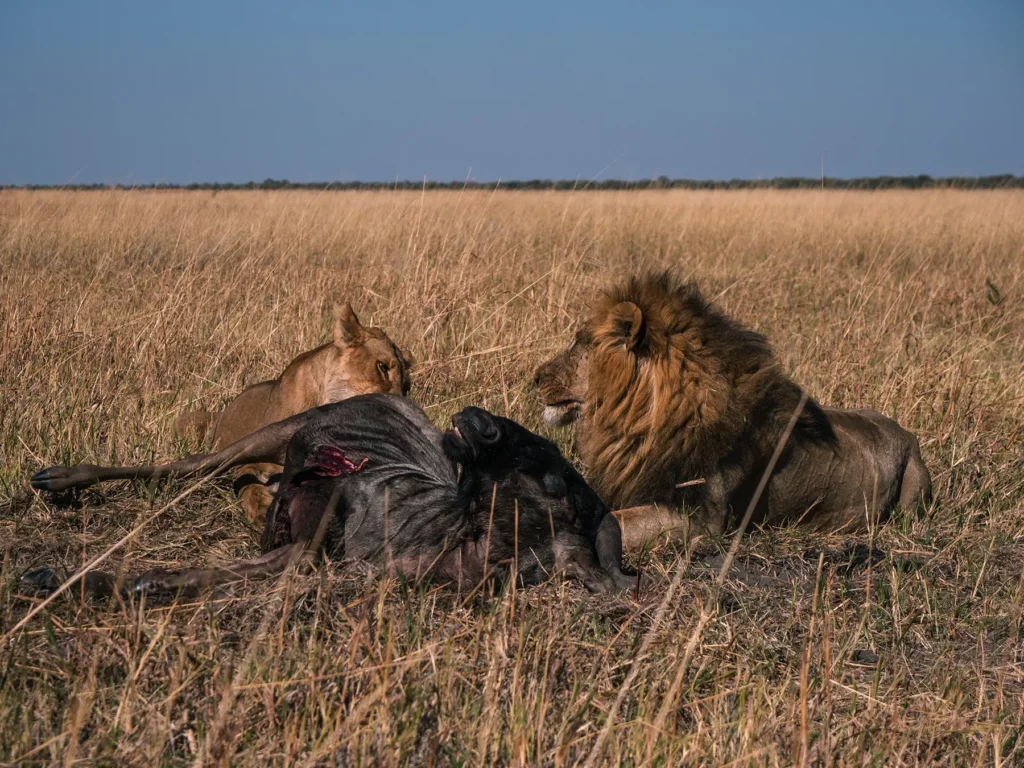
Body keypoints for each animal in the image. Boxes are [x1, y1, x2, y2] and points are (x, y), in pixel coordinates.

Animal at [174, 303, 413, 524]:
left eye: (407, 387)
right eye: (382, 366)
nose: (401, 411)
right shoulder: (252, 461)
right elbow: (247, 483)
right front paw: (261, 509)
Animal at [534, 272, 932, 550]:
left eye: (580, 342)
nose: (535, 377)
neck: (641, 421)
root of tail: (905, 432)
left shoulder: (700, 521)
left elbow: (613, 524)